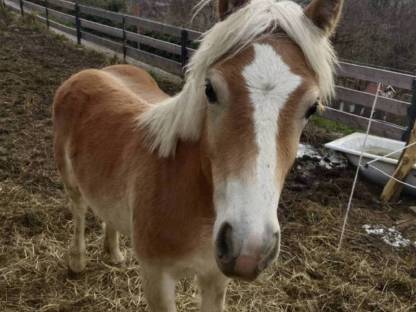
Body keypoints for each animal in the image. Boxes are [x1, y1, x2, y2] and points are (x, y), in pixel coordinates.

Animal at [53, 0, 342, 310]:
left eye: (312, 108)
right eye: (210, 89)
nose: (249, 248)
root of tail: (88, 73)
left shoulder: (215, 278)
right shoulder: (157, 278)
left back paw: (114, 254)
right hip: (70, 180)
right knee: (79, 210)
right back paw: (77, 262)